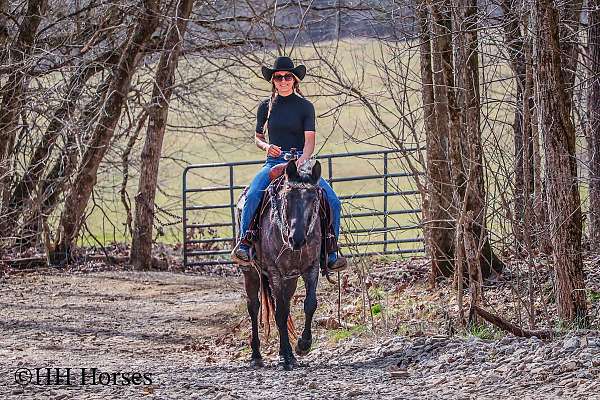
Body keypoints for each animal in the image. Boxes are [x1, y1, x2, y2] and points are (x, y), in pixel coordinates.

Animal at [243, 158, 324, 370]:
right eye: (288, 198)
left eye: (313, 199)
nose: (297, 239)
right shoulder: (274, 272)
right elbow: (279, 313)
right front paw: (287, 358)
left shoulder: (311, 268)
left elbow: (310, 304)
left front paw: (302, 345)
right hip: (251, 272)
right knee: (254, 306)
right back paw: (257, 355)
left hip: (290, 278)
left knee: (284, 304)